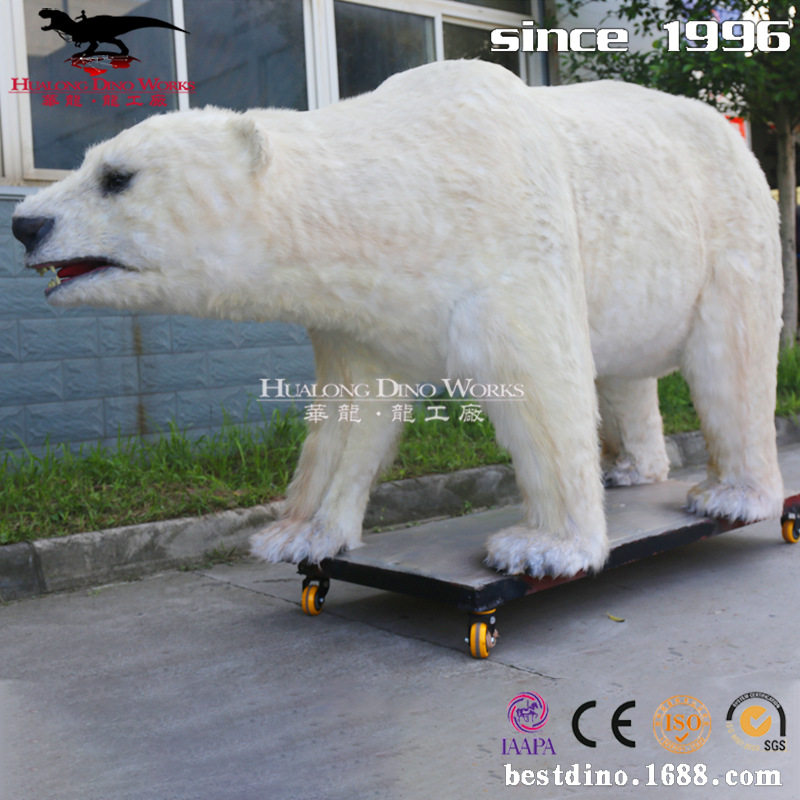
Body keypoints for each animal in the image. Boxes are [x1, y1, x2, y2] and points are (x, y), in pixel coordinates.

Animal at [11, 59, 784, 578]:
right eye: (88, 161)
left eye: (117, 177)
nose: (25, 224)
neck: (403, 193)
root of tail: (732, 129)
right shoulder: (357, 309)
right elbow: (352, 414)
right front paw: (294, 535)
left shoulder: (508, 241)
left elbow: (540, 386)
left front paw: (541, 550)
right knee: (626, 370)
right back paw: (632, 471)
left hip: (727, 233)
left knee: (731, 362)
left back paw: (731, 497)